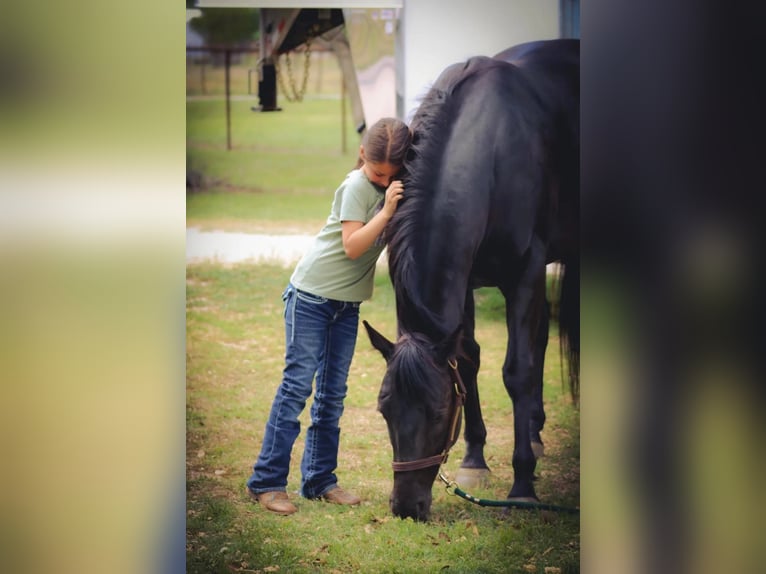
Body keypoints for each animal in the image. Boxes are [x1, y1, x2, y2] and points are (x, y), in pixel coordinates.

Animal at [364, 39, 580, 520]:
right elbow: (467, 361)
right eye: (384, 410)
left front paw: (522, 484)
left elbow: (517, 371)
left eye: (438, 410)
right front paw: (475, 461)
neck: (493, 149)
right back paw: (535, 430)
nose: (406, 507)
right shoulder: (462, 282)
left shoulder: (525, 272)